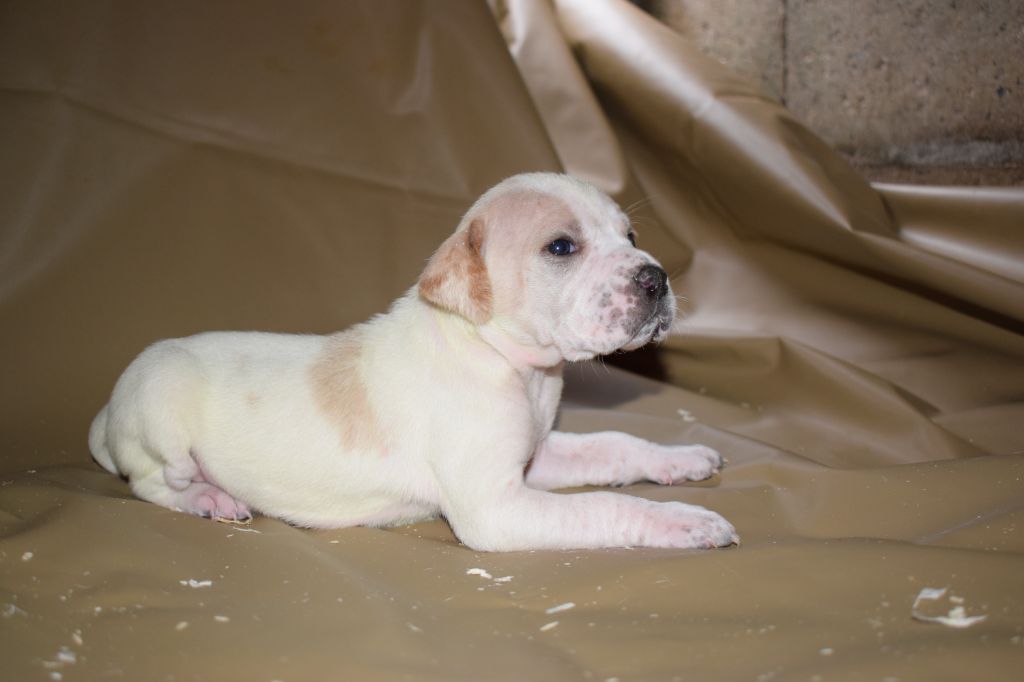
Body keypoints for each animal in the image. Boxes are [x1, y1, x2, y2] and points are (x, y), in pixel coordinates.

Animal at [89, 172, 737, 551]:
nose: (656, 279)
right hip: (162, 413)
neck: (511, 363)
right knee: (153, 483)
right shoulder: (495, 508)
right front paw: (685, 521)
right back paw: (210, 498)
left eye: (630, 237)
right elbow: (606, 503)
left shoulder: (535, 459)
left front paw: (681, 459)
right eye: (561, 247)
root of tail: (106, 415)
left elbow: (613, 444)